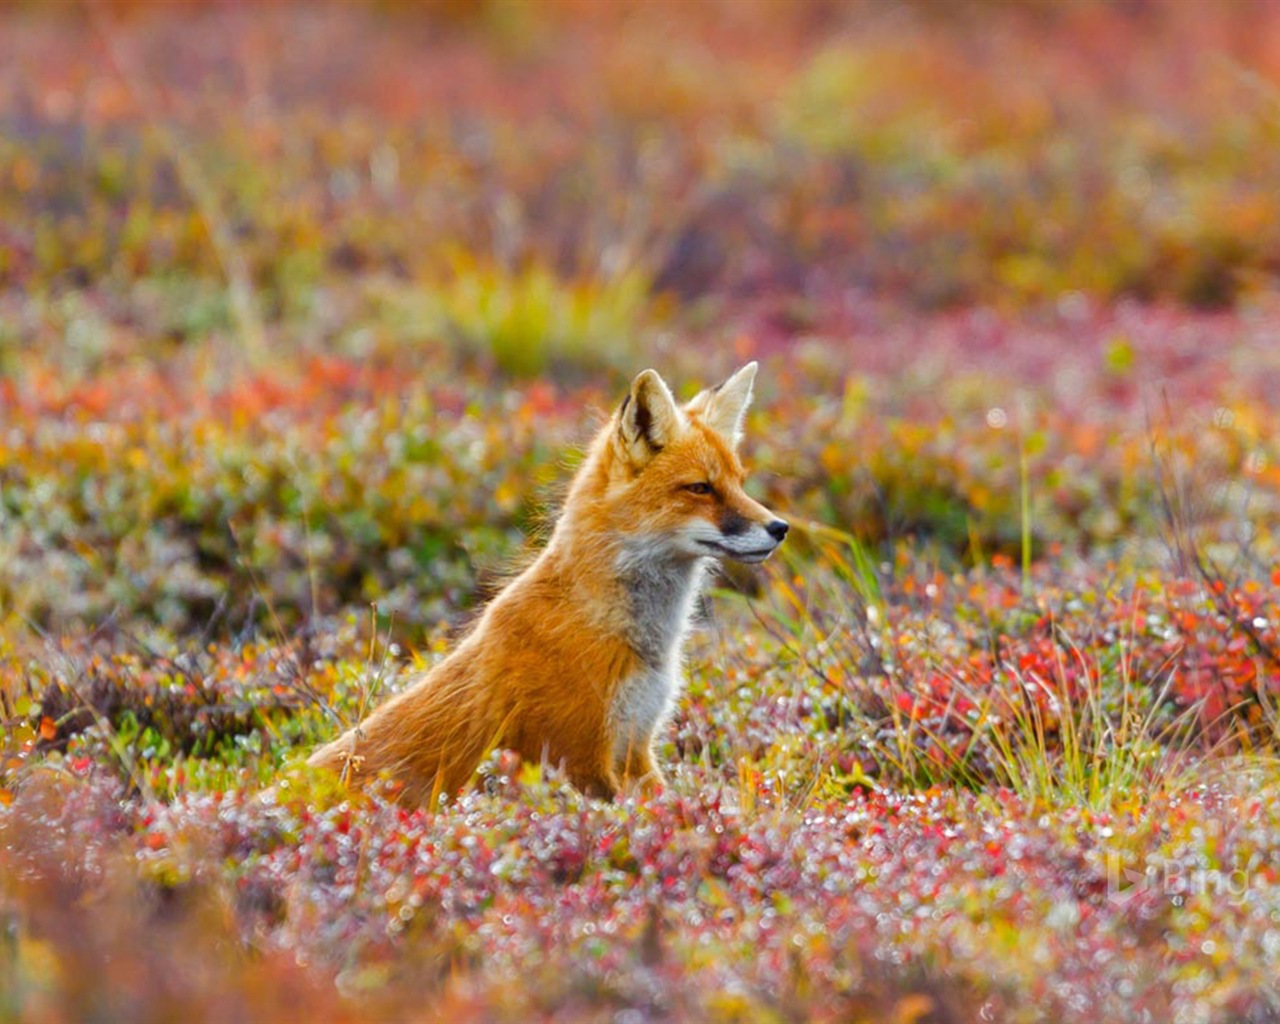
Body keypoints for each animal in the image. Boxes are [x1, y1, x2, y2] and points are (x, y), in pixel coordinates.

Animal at [309, 360, 788, 808]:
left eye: (738, 484)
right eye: (700, 488)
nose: (780, 528)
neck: (624, 637)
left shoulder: (636, 745)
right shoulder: (578, 757)